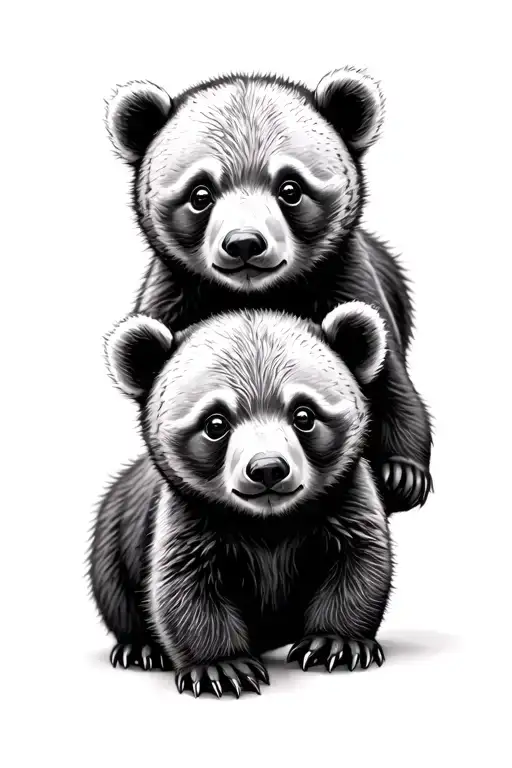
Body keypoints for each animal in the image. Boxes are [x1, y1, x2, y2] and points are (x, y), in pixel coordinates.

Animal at [89, 301, 393, 697]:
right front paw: (222, 667)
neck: (269, 522)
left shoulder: (344, 497)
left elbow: (359, 563)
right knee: (116, 593)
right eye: (215, 423)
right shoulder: (188, 517)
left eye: (304, 415)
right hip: (113, 536)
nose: (267, 468)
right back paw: (141, 649)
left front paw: (334, 643)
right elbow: (185, 589)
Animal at [104, 67, 433, 515]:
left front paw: (402, 472)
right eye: (200, 194)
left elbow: (388, 379)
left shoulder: (346, 282)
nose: (244, 242)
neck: (255, 295)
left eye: (290, 188)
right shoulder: (173, 298)